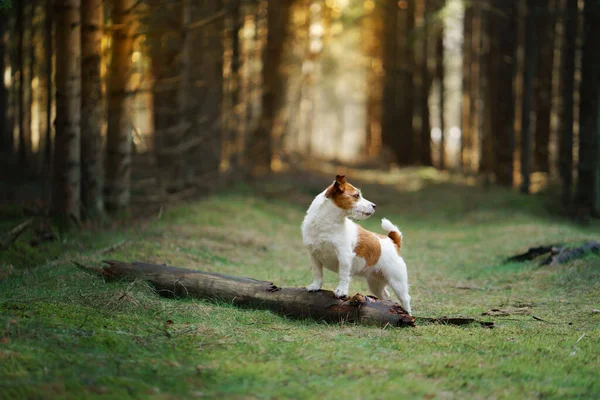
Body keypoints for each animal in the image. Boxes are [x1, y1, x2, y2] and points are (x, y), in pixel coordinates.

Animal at [300, 175, 412, 316]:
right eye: (356, 195)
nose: (374, 206)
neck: (326, 225)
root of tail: (393, 241)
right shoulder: (313, 255)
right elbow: (317, 273)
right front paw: (315, 286)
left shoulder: (344, 256)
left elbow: (343, 275)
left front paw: (341, 291)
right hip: (376, 284)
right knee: (386, 296)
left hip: (397, 281)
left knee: (405, 298)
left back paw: (408, 314)